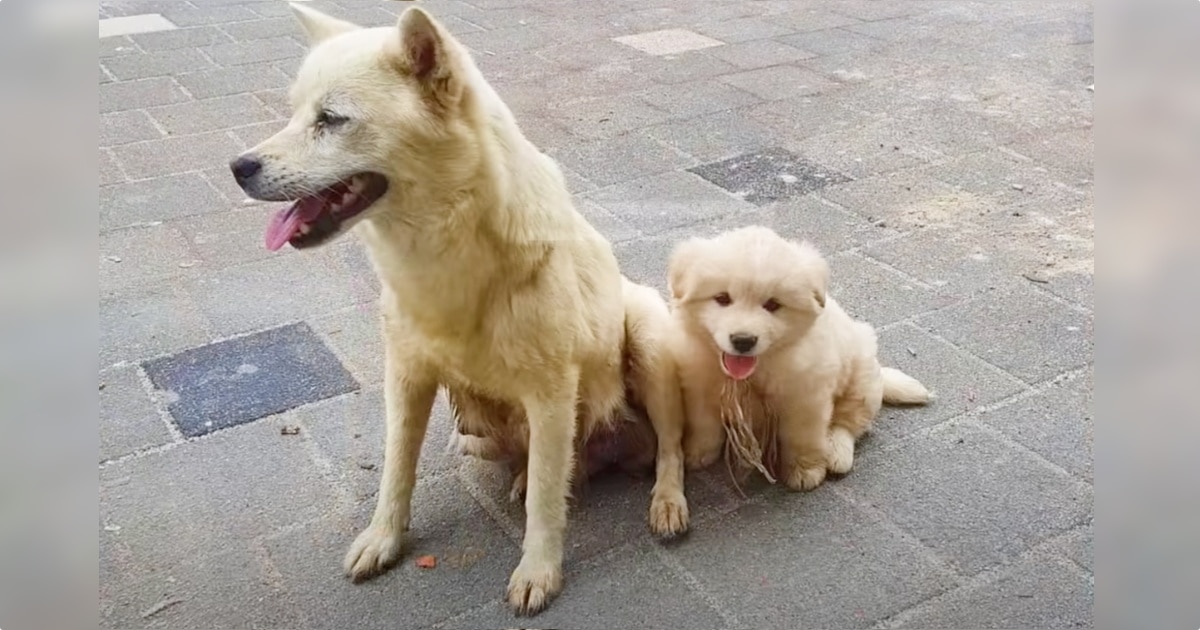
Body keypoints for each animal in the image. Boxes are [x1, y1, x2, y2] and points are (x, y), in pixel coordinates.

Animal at [672, 225, 931, 492]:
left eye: (772, 304)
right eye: (722, 298)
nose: (743, 340)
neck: (754, 373)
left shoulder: (806, 399)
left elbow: (801, 438)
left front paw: (805, 471)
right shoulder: (699, 388)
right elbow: (704, 425)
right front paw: (698, 453)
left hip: (861, 378)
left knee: (849, 422)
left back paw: (836, 452)